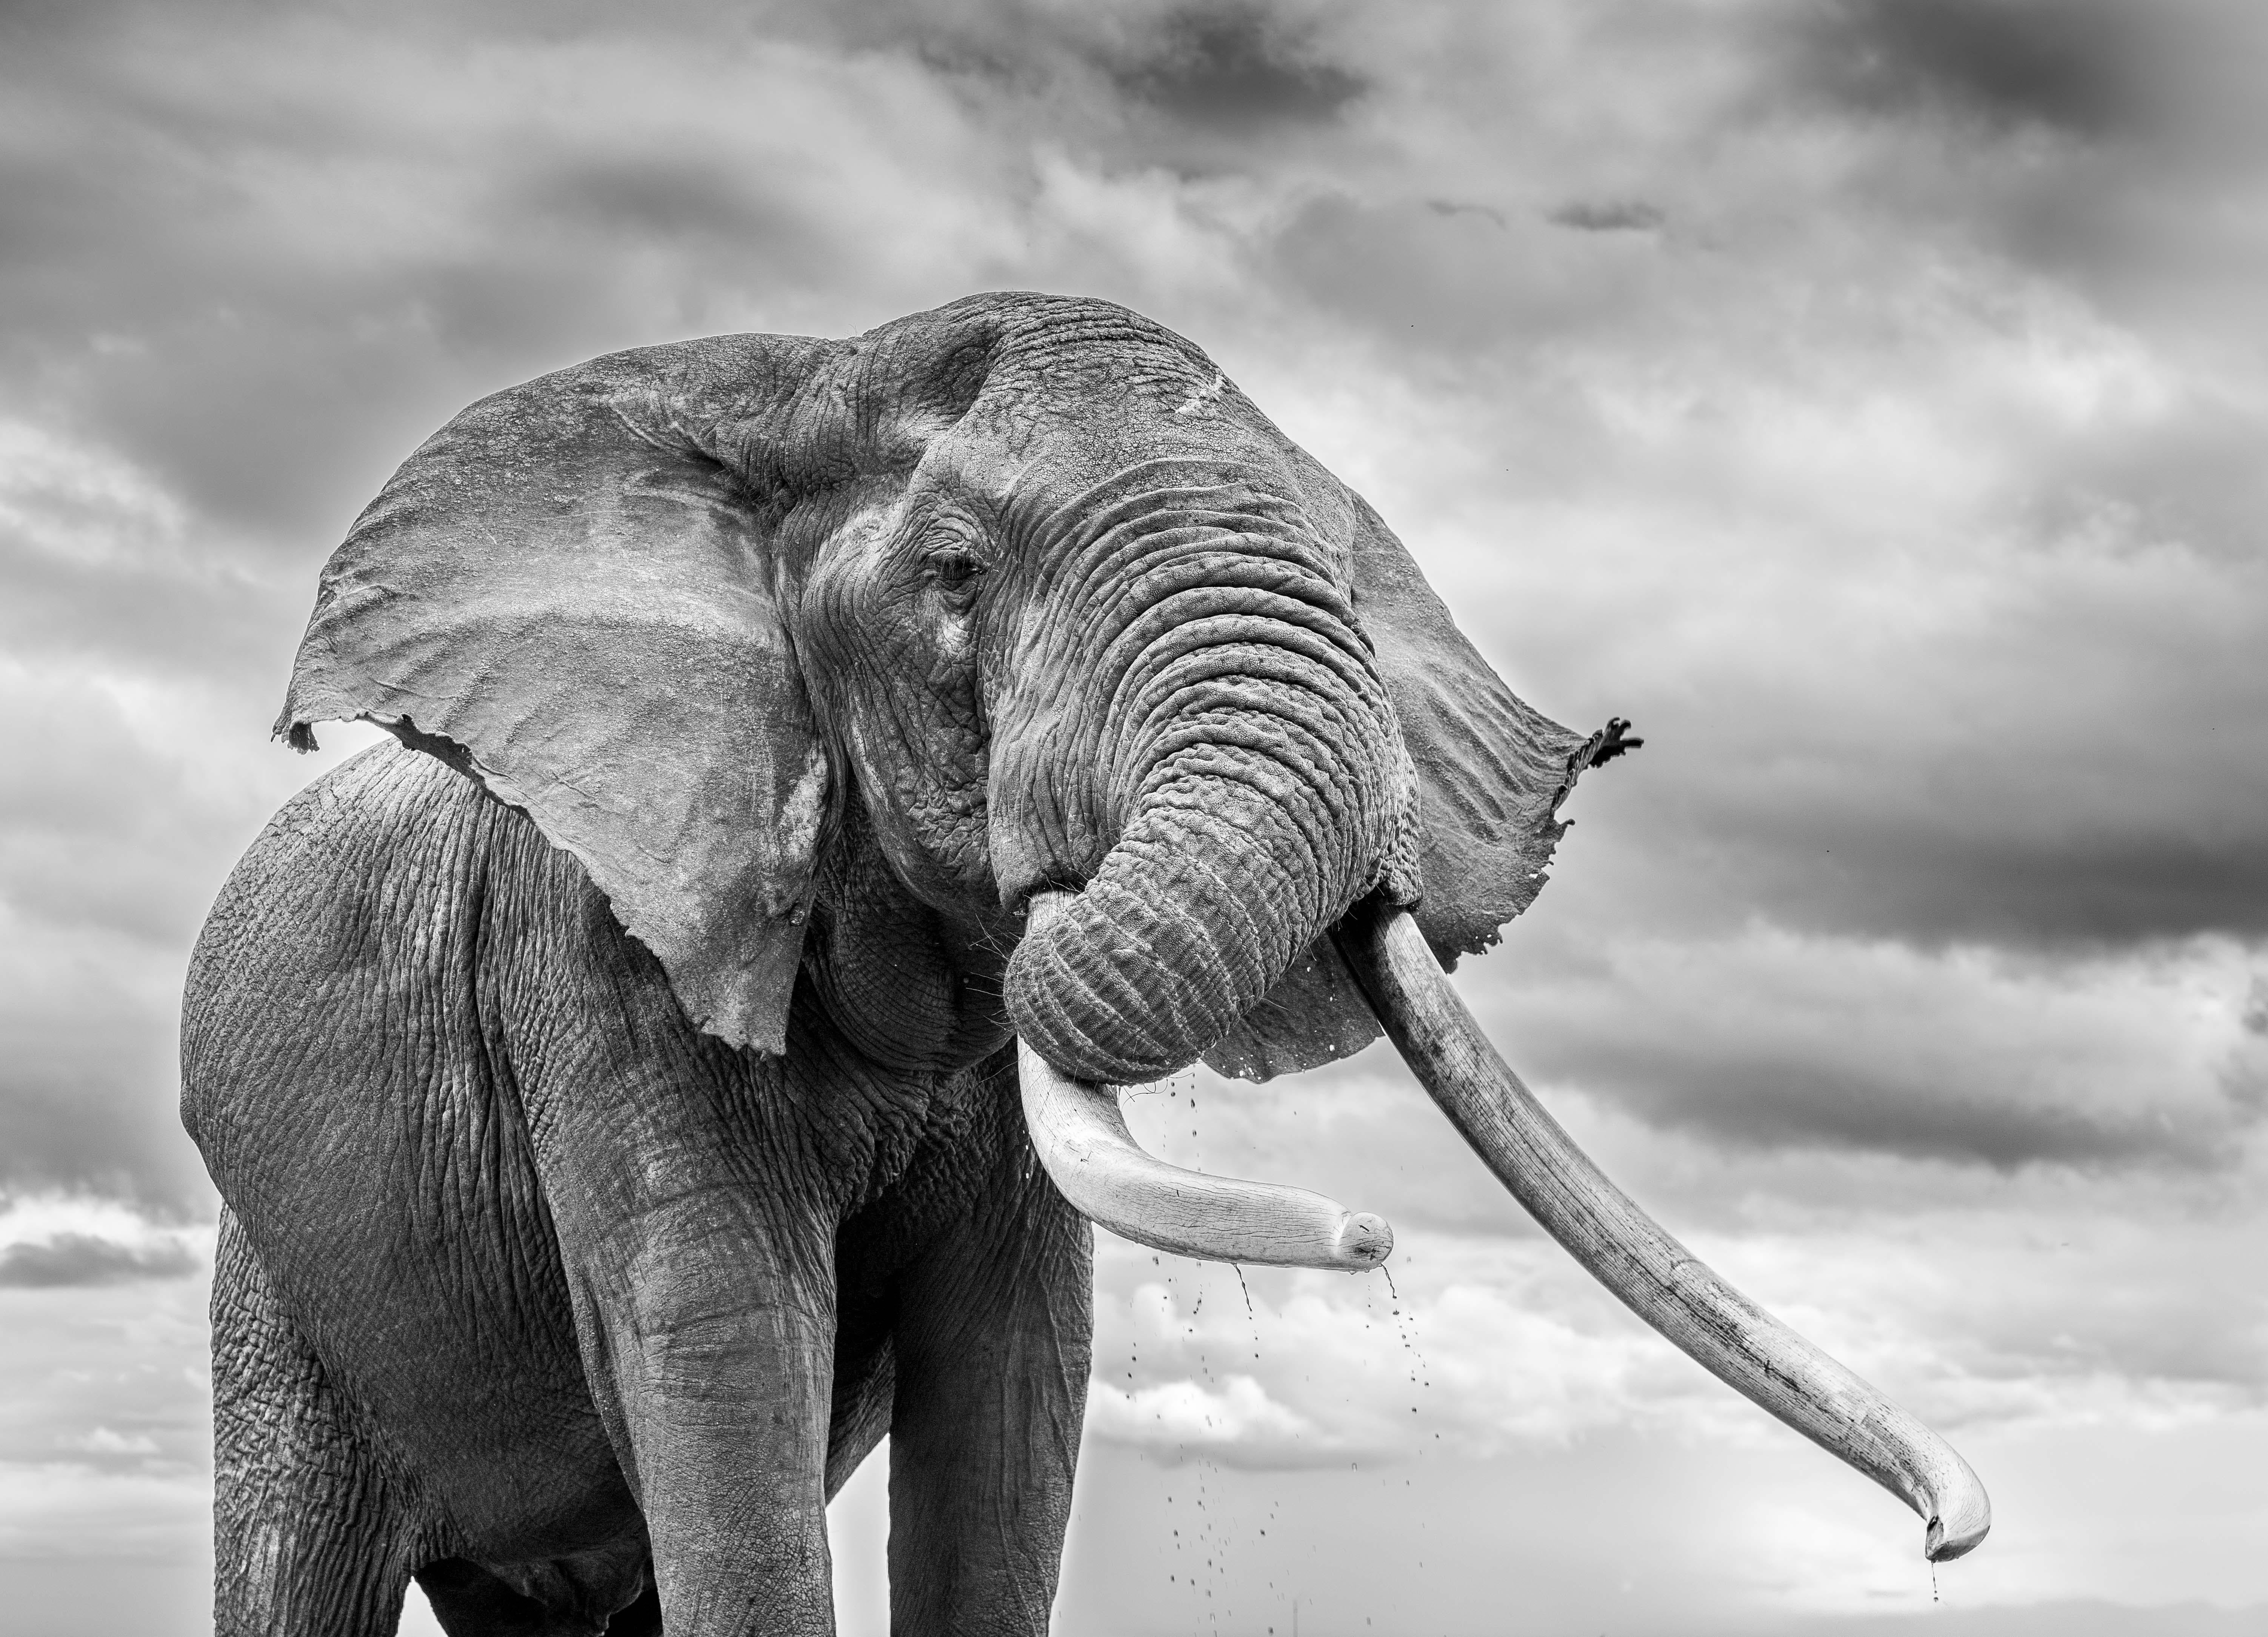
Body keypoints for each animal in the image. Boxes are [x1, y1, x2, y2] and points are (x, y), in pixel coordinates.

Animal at [181, 292, 1986, 1632]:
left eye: (1348, 585)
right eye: (955, 574)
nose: (1945, 1540)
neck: (790, 386)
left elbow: (1013, 1382)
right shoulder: (602, 946)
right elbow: (723, 1340)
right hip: (276, 1280)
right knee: (300, 1551)